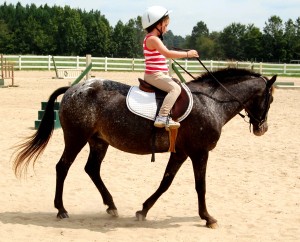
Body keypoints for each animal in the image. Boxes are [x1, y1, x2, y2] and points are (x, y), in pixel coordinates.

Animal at [12, 68, 276, 229]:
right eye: (270, 99)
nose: (262, 128)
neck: (211, 103)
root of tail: (72, 89)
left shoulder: (181, 153)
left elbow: (165, 182)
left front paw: (143, 210)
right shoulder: (199, 153)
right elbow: (200, 186)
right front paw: (208, 218)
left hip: (98, 141)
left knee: (92, 170)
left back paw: (111, 205)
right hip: (76, 138)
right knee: (63, 167)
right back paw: (61, 209)